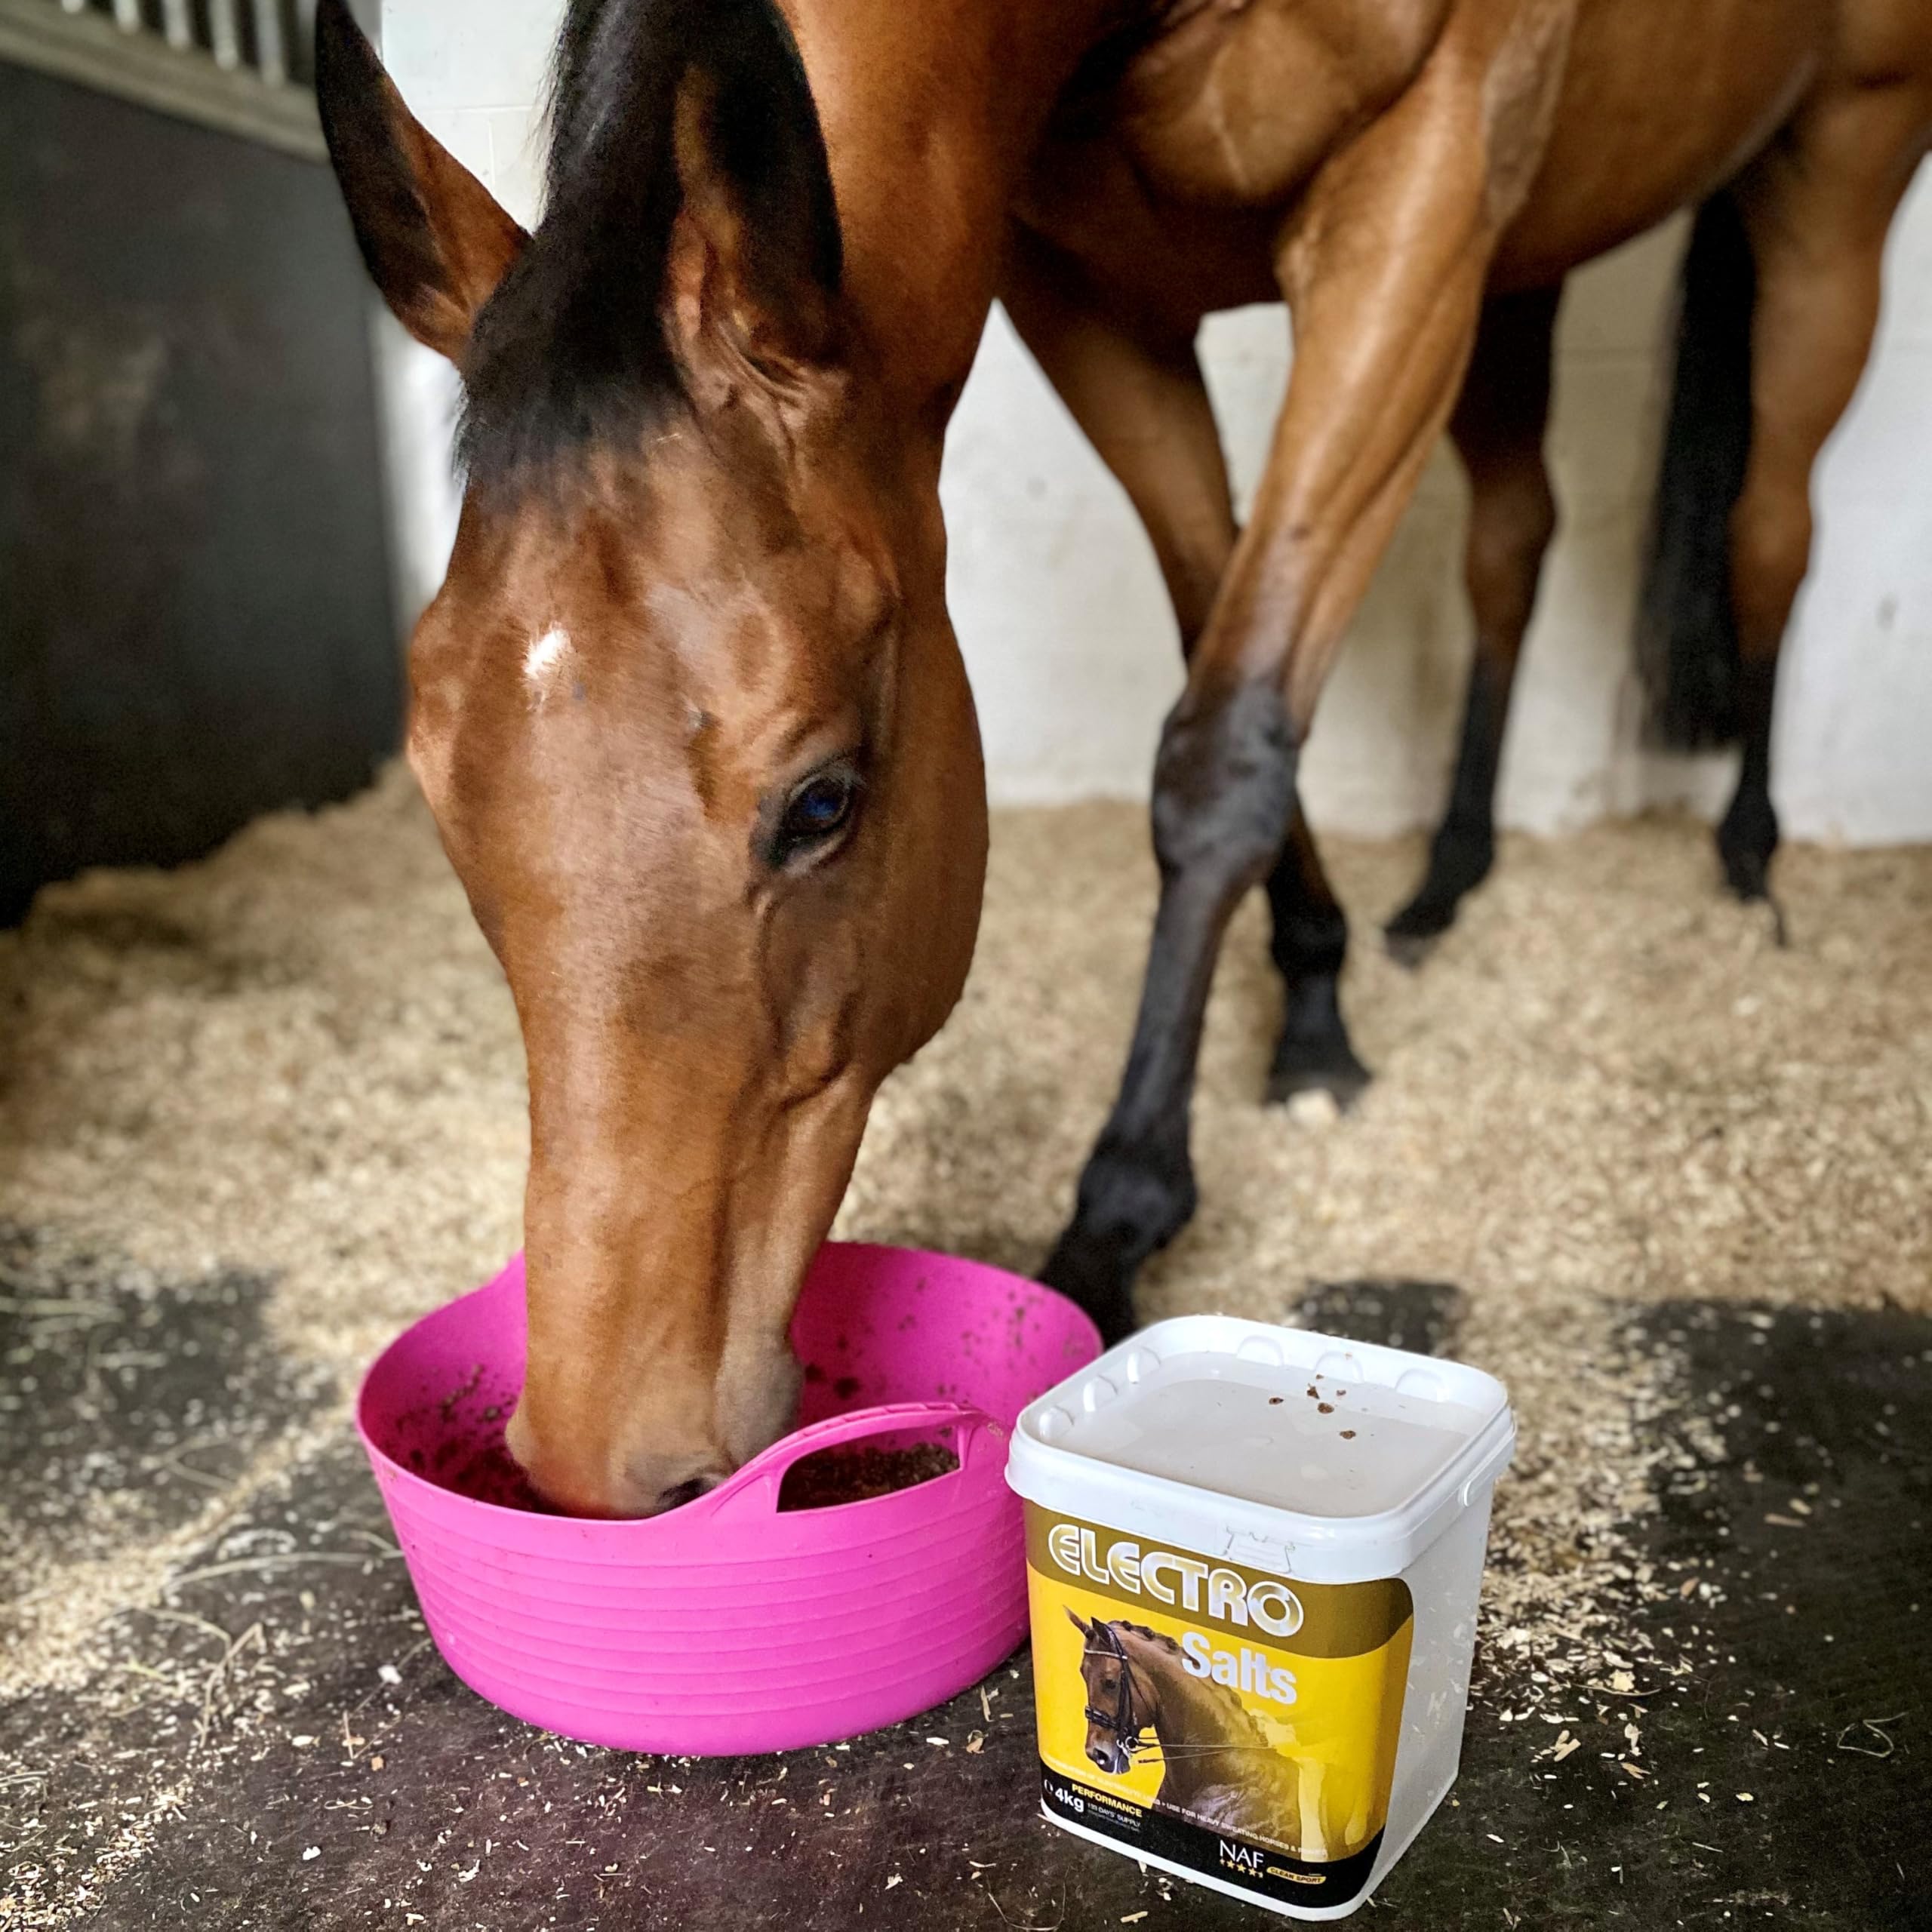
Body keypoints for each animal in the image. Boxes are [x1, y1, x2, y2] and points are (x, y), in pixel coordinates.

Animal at [314, 0, 1932, 1509]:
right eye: (441, 799)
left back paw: (1749, 855)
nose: (599, 1455)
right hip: (1529, 269)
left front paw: (1119, 1216)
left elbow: (1224, 742)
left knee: (1769, 532)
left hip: (1833, 176)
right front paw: (1316, 991)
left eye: (824, 801)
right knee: (1514, 543)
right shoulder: (1093, 295)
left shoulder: (1419, 195)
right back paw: (1446, 879)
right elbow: (1228, 631)